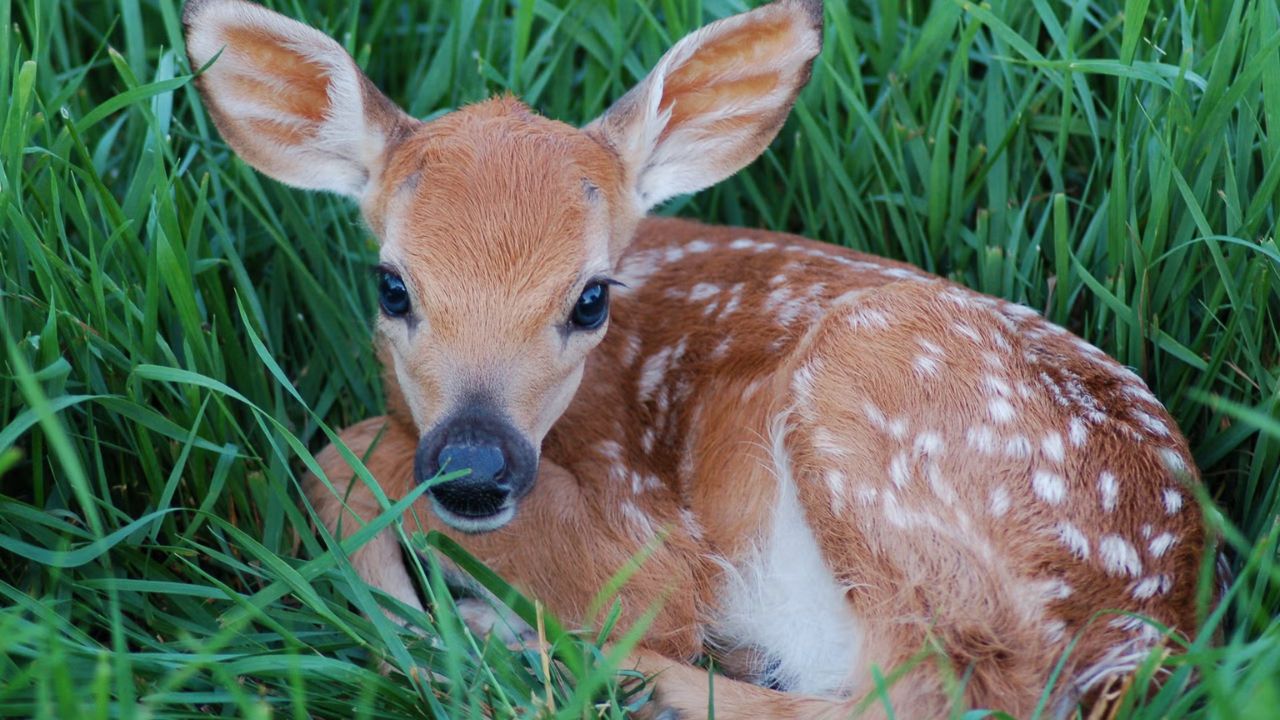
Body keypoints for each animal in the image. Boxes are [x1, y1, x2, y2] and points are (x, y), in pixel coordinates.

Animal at [183, 0, 1212, 716]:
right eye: (392, 286)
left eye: (592, 297)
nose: (474, 469)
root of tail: (1157, 621)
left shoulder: (652, 538)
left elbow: (347, 451)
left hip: (875, 394)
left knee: (939, 694)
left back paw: (554, 659)